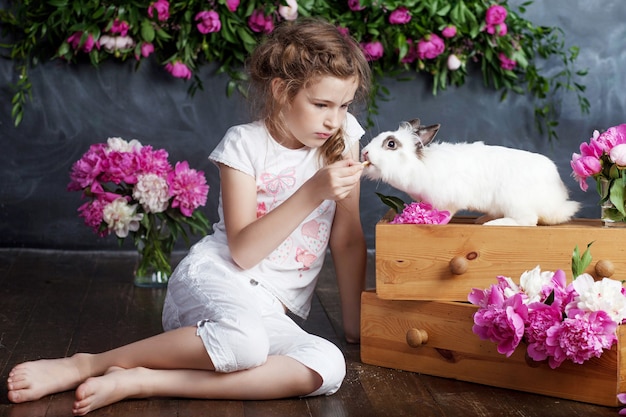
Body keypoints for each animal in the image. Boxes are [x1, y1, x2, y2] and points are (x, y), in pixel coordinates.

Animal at [358, 118, 576, 226]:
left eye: (391, 144)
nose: (364, 152)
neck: (419, 165)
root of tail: (558, 201)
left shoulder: (449, 198)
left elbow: (448, 213)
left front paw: (439, 221)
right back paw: (484, 219)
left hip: (514, 202)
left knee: (527, 221)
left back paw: (494, 224)